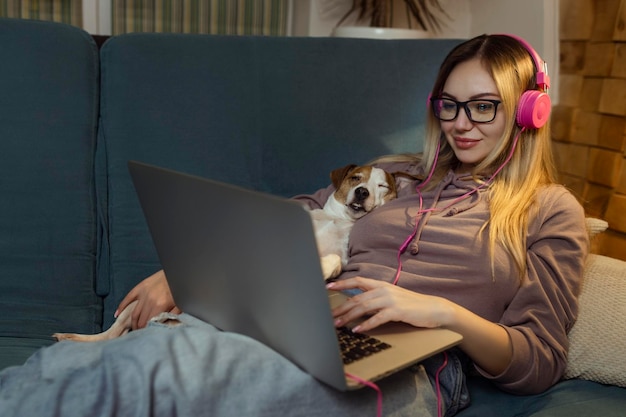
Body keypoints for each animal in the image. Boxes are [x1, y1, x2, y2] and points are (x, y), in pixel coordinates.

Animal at [54, 162, 394, 342]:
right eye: (356, 178)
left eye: (382, 187)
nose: (362, 192)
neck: (337, 220)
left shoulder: (342, 254)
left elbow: (334, 258)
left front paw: (322, 267)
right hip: (131, 309)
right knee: (109, 334)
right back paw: (73, 338)